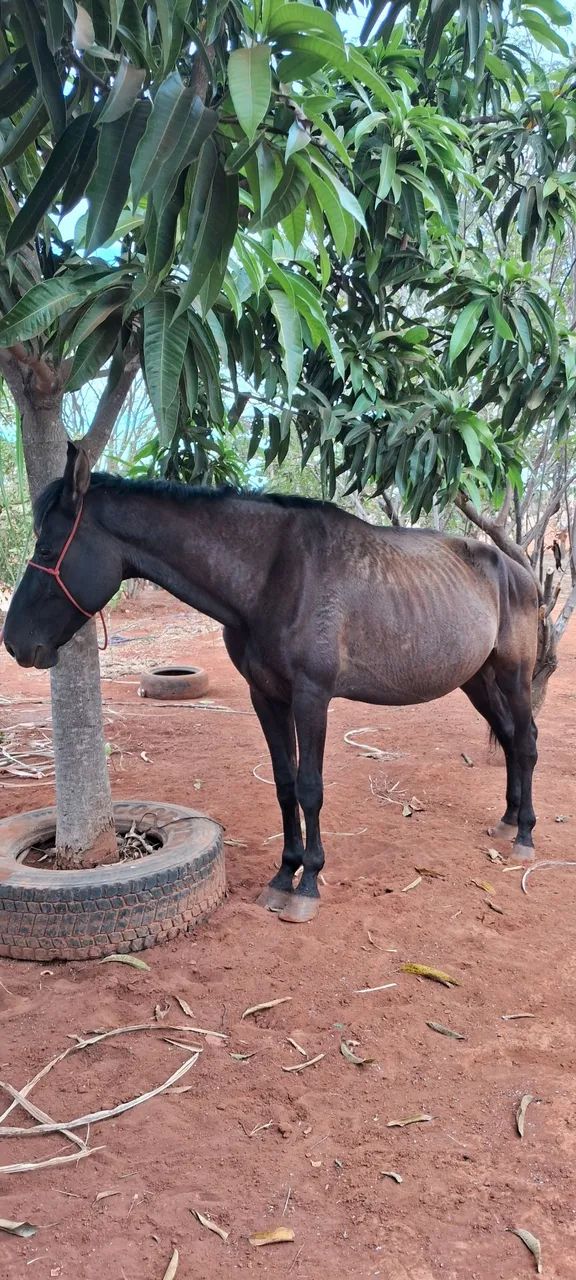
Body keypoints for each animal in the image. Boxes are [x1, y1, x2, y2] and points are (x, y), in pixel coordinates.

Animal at [3, 443, 540, 923]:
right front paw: (284, 876)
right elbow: (284, 785)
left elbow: (310, 788)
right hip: (477, 680)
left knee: (527, 742)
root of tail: (520, 570)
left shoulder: (311, 697)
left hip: (513, 675)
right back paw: (508, 820)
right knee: (509, 737)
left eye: (47, 548)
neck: (273, 577)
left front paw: (308, 884)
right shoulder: (266, 697)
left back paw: (525, 835)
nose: (14, 642)